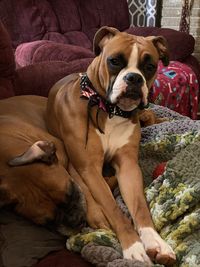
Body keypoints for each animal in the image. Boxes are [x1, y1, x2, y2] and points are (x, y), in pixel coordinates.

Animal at [0, 27, 175, 266]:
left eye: (150, 67)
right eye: (114, 61)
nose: (134, 78)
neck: (109, 111)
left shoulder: (129, 167)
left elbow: (140, 207)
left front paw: (155, 242)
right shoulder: (87, 168)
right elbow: (112, 208)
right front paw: (133, 247)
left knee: (150, 116)